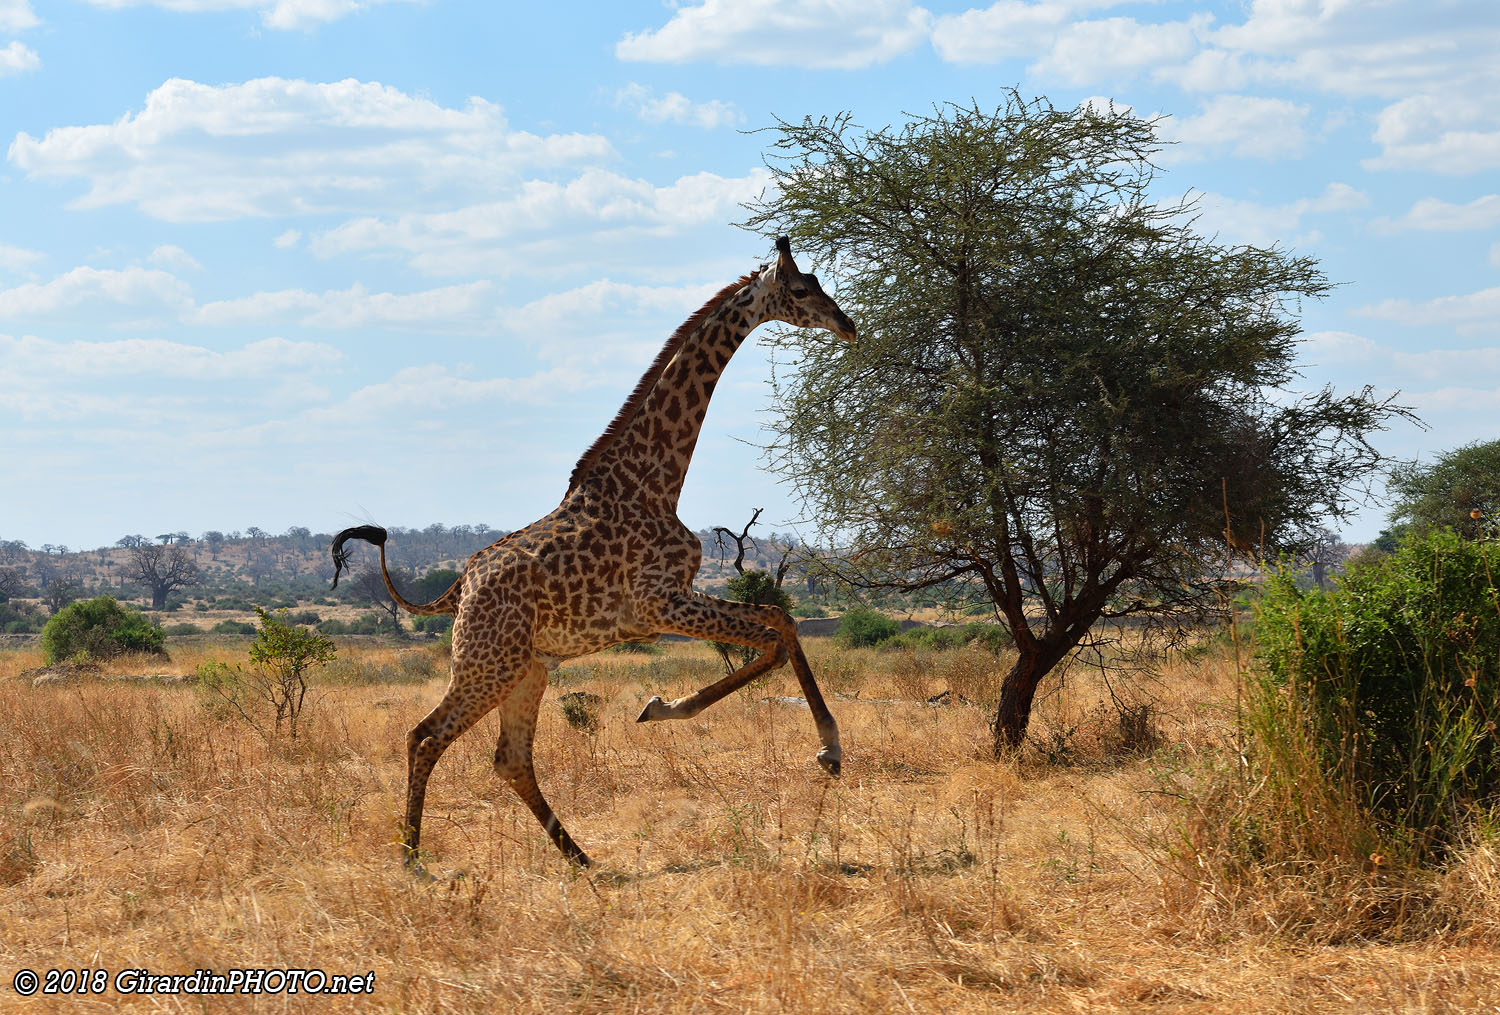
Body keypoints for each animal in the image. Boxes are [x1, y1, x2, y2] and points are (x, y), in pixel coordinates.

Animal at [330, 237, 856, 868]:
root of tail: (460, 590)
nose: (848, 325)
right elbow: (773, 639)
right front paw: (665, 708)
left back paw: (581, 859)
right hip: (488, 663)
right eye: (801, 289)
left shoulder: (674, 597)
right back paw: (411, 859)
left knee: (509, 756)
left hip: (527, 667)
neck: (656, 483)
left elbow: (782, 619)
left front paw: (829, 749)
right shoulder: (658, 605)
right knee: (425, 735)